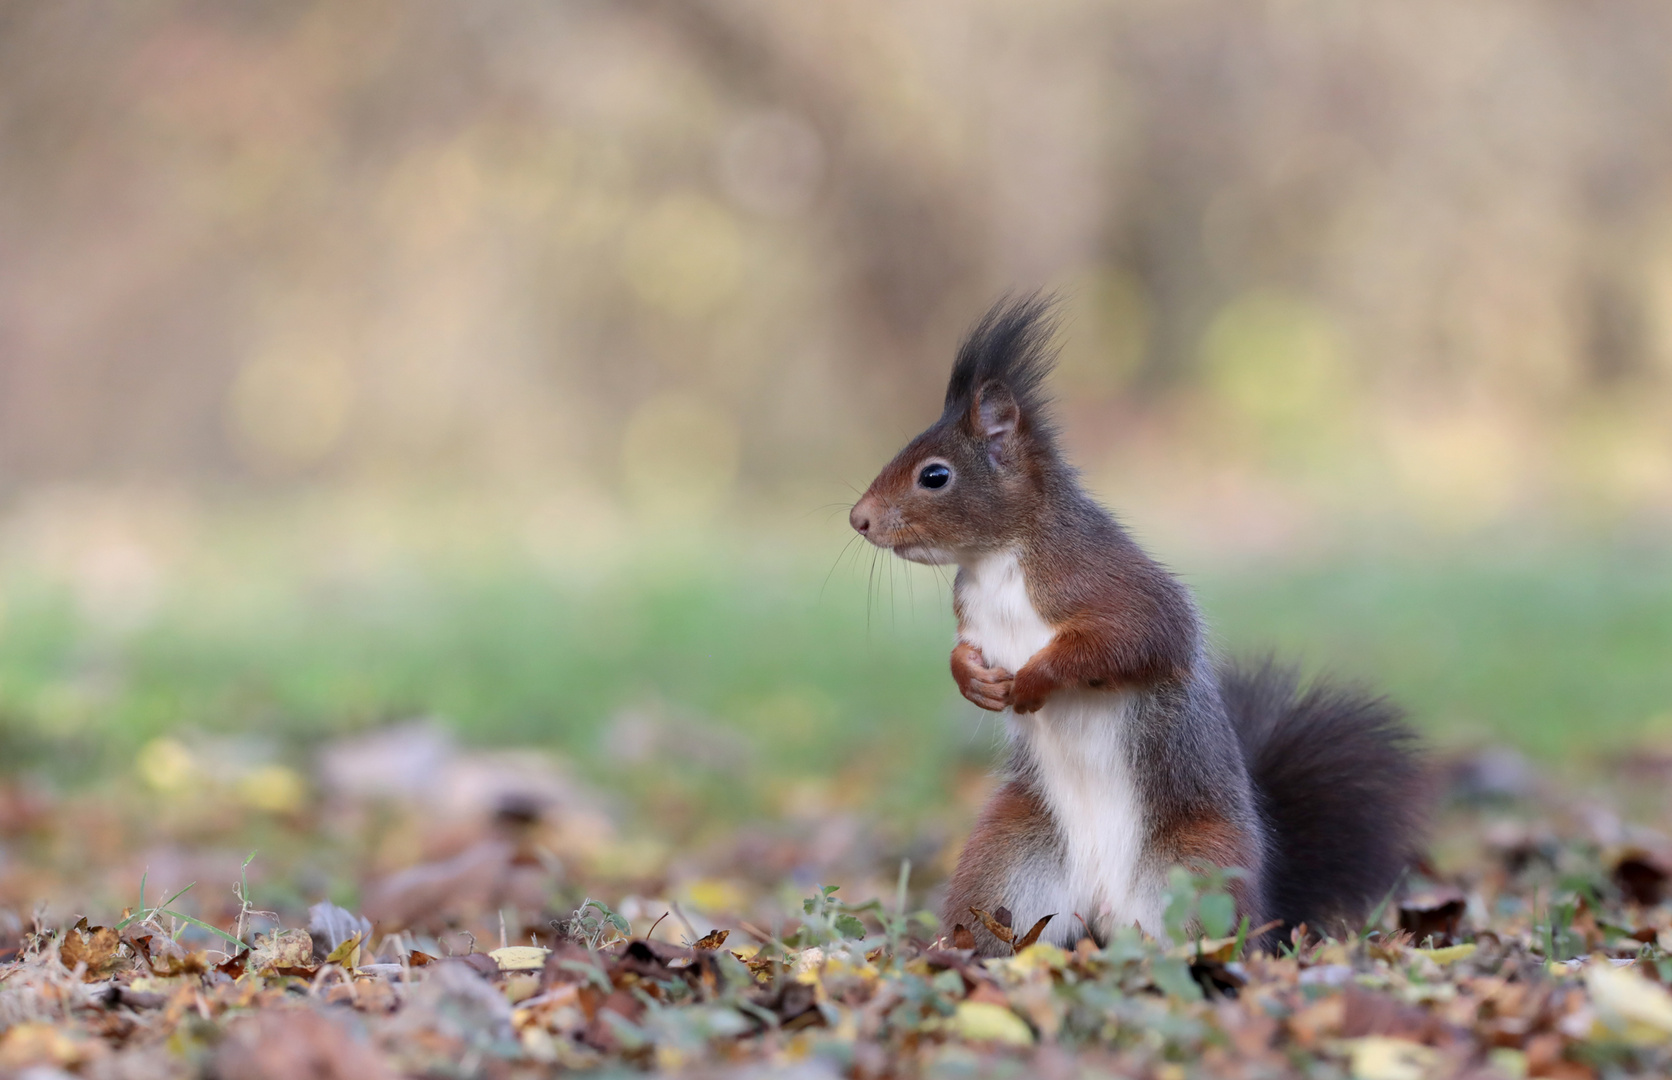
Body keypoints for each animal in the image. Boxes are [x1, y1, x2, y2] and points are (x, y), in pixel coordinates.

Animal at [849, 294, 1424, 956]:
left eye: (935, 475)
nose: (858, 519)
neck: (995, 562)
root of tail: (1103, 907)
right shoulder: (972, 613)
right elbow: (964, 651)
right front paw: (975, 681)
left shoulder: (1114, 586)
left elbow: (1133, 640)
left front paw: (1034, 681)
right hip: (1010, 861)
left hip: (1198, 871)